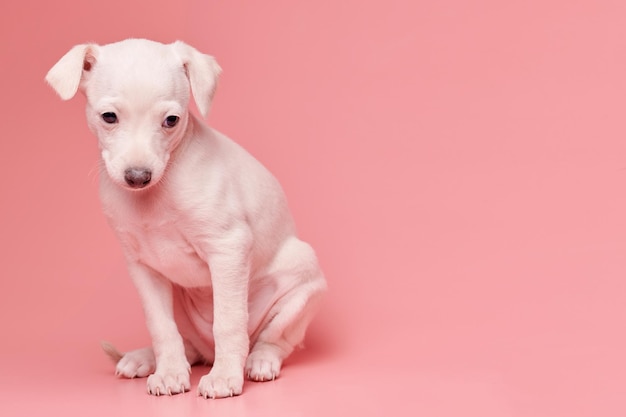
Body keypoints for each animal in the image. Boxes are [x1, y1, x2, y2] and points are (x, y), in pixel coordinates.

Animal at [44, 38, 326, 396]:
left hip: (301, 286)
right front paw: (169, 373)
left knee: (274, 340)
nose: (138, 177)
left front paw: (224, 377)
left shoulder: (228, 248)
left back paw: (259, 361)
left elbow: (228, 322)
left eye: (171, 120)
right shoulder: (142, 267)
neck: (156, 196)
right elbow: (161, 327)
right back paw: (146, 359)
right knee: (186, 343)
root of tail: (207, 352)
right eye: (109, 117)